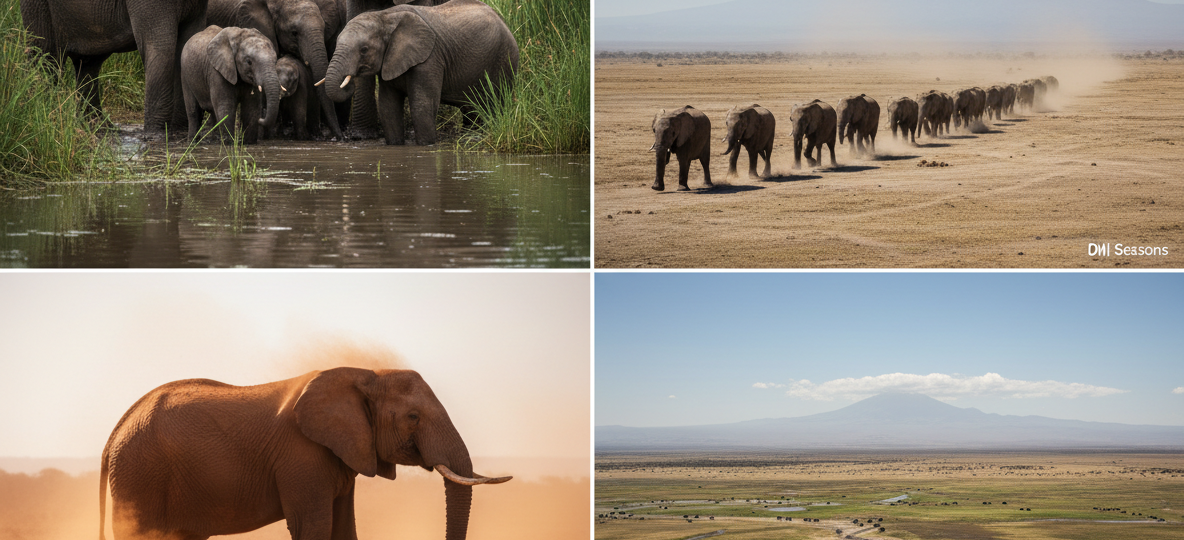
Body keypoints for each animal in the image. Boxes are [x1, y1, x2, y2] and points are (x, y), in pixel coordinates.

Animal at [20, 0, 209, 136]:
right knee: (46, 59)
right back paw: (45, 115)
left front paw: (179, 131)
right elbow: (161, 49)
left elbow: (189, 40)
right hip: (39, 7)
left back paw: (99, 127)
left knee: (89, 64)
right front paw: (157, 136)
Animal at [97, 367, 511, 540]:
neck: (367, 374)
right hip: (139, 475)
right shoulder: (301, 456)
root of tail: (115, 431)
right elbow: (313, 527)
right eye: (413, 417)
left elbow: (342, 529)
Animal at [322, 0, 519, 145]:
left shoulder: (430, 58)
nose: (349, 80)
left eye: (364, 49)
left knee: (495, 104)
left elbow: (422, 106)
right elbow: (388, 107)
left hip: (504, 59)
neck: (385, 17)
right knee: (472, 110)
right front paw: (395, 145)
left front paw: (427, 145)